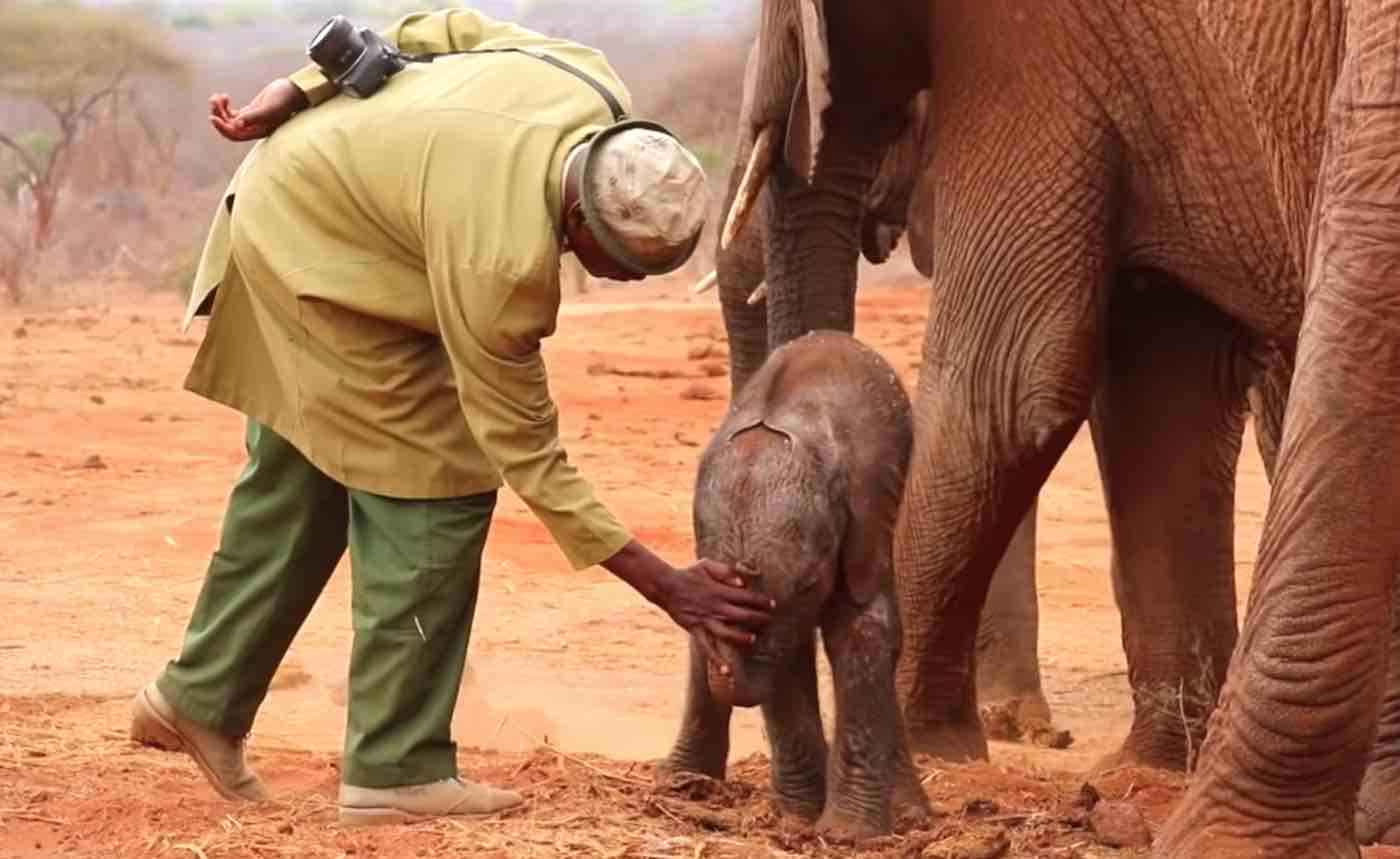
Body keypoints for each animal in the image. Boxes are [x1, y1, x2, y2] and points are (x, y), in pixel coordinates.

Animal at [658, 331, 924, 839]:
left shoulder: (865, 515)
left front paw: (845, 835)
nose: (743, 572)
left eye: (808, 585)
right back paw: (680, 785)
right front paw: (798, 820)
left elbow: (860, 631)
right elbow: (787, 658)